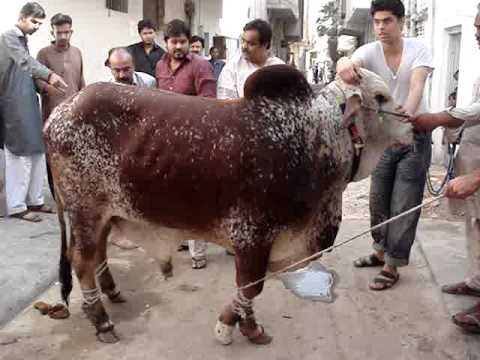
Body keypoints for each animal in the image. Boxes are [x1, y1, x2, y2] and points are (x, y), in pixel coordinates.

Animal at [45, 65, 412, 346]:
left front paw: (248, 327)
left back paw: (112, 293)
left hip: (101, 214)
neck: (315, 138)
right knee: (82, 261)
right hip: (85, 210)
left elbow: (250, 288)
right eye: (381, 97)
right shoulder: (254, 234)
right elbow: (251, 284)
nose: (410, 122)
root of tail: (60, 112)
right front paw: (229, 327)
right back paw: (102, 321)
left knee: (98, 254)